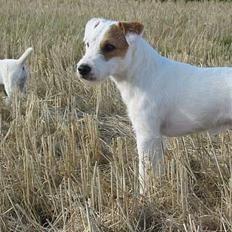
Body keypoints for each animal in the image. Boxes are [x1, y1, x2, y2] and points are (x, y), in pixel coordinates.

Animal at [77, 17, 232, 192]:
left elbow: (144, 173)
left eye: (109, 46)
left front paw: (144, 195)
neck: (143, 73)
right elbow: (156, 171)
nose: (82, 68)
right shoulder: (156, 138)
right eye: (87, 44)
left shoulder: (147, 135)